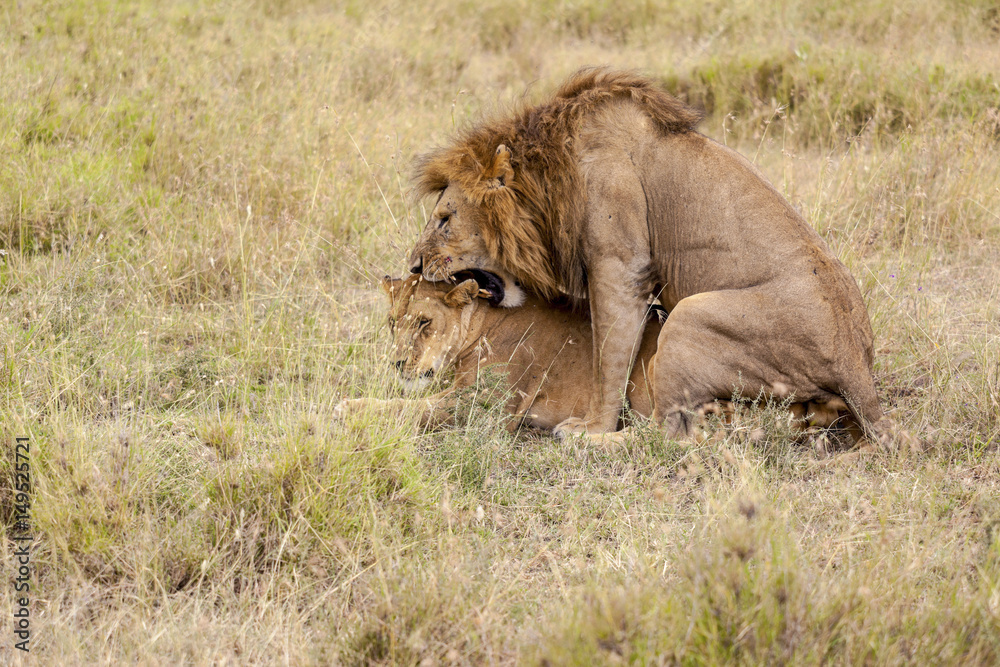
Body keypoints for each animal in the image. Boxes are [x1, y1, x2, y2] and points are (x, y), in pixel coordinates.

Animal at [334, 272, 864, 442]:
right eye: (392, 323)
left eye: (424, 323)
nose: (397, 364)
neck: (479, 324)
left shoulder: (481, 407)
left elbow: (409, 409)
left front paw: (348, 407)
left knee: (673, 439)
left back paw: (579, 437)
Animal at [406, 66, 894, 443]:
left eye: (445, 219)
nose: (414, 265)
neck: (554, 171)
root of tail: (857, 367)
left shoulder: (620, 267)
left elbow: (609, 358)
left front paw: (592, 427)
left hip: (690, 317)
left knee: (668, 436)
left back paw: (589, 443)